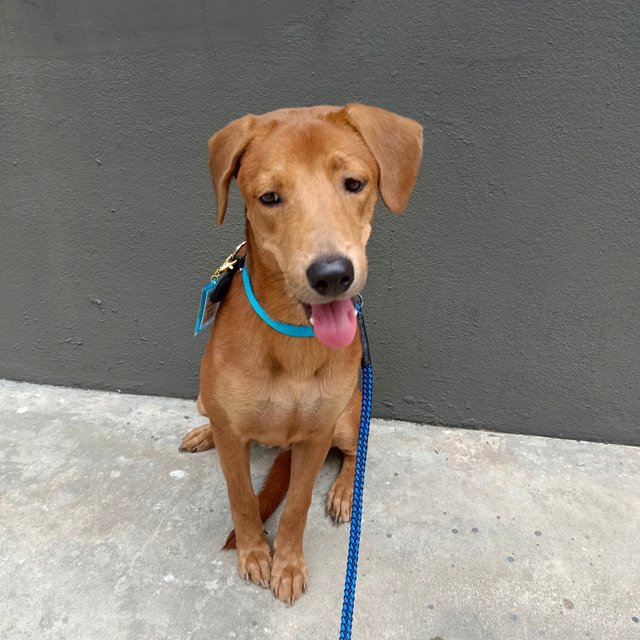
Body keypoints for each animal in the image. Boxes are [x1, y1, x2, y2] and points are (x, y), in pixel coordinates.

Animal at [180, 102, 422, 604]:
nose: (332, 274)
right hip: (205, 399)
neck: (291, 337)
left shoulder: (315, 437)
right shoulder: (234, 435)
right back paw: (203, 433)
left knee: (357, 451)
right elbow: (242, 498)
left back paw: (345, 492)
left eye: (354, 184)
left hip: (347, 417)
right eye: (270, 197)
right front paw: (254, 553)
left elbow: (295, 505)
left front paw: (287, 564)